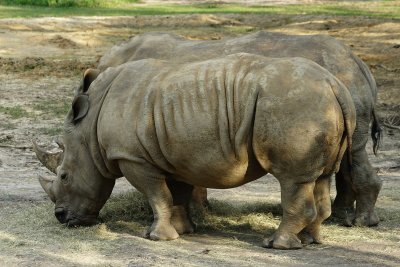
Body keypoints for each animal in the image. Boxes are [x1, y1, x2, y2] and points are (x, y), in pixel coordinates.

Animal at [36, 54, 356, 251]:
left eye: (64, 176)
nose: (61, 217)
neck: (89, 130)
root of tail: (335, 85)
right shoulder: (172, 154)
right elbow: (175, 195)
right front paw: (184, 230)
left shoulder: (131, 156)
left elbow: (157, 195)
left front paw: (157, 237)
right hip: (314, 104)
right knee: (320, 177)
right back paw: (310, 241)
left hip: (295, 105)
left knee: (292, 179)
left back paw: (275, 244)